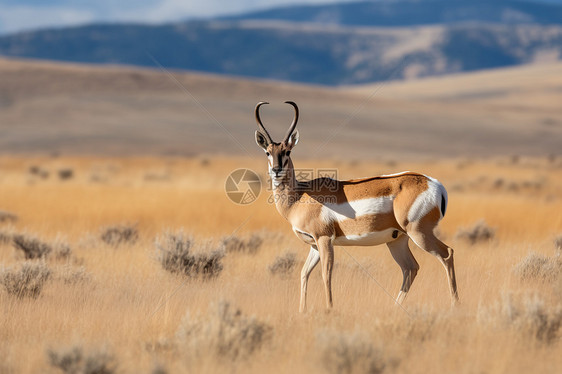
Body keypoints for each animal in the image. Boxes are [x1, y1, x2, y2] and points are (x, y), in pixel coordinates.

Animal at [253, 100, 456, 312]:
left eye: (287, 151)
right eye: (268, 152)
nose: (276, 170)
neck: (300, 196)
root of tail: (432, 183)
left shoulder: (324, 239)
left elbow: (326, 274)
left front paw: (330, 309)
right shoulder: (314, 244)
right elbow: (304, 273)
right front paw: (302, 311)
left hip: (419, 234)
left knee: (447, 254)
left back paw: (454, 305)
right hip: (398, 240)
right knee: (410, 268)